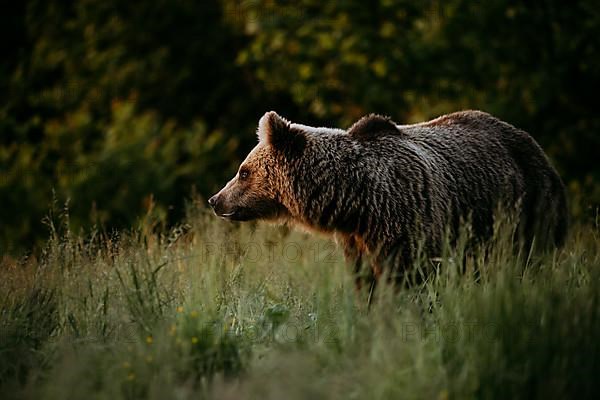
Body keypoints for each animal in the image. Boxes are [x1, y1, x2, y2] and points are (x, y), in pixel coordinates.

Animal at [210, 109, 568, 290]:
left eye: (243, 171)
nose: (216, 200)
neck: (355, 201)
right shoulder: (357, 241)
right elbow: (366, 284)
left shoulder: (407, 222)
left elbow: (411, 281)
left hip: (525, 208)